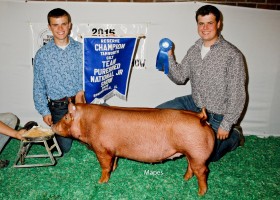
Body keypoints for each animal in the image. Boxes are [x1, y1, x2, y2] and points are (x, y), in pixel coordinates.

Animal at [52, 92, 214, 195]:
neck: (88, 122)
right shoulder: (114, 150)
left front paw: (101, 182)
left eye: (66, 117)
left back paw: (201, 193)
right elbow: (114, 161)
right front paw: (114, 170)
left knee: (203, 171)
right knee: (191, 167)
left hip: (198, 153)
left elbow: (105, 166)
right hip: (191, 153)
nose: (53, 125)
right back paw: (185, 179)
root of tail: (201, 118)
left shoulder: (102, 149)